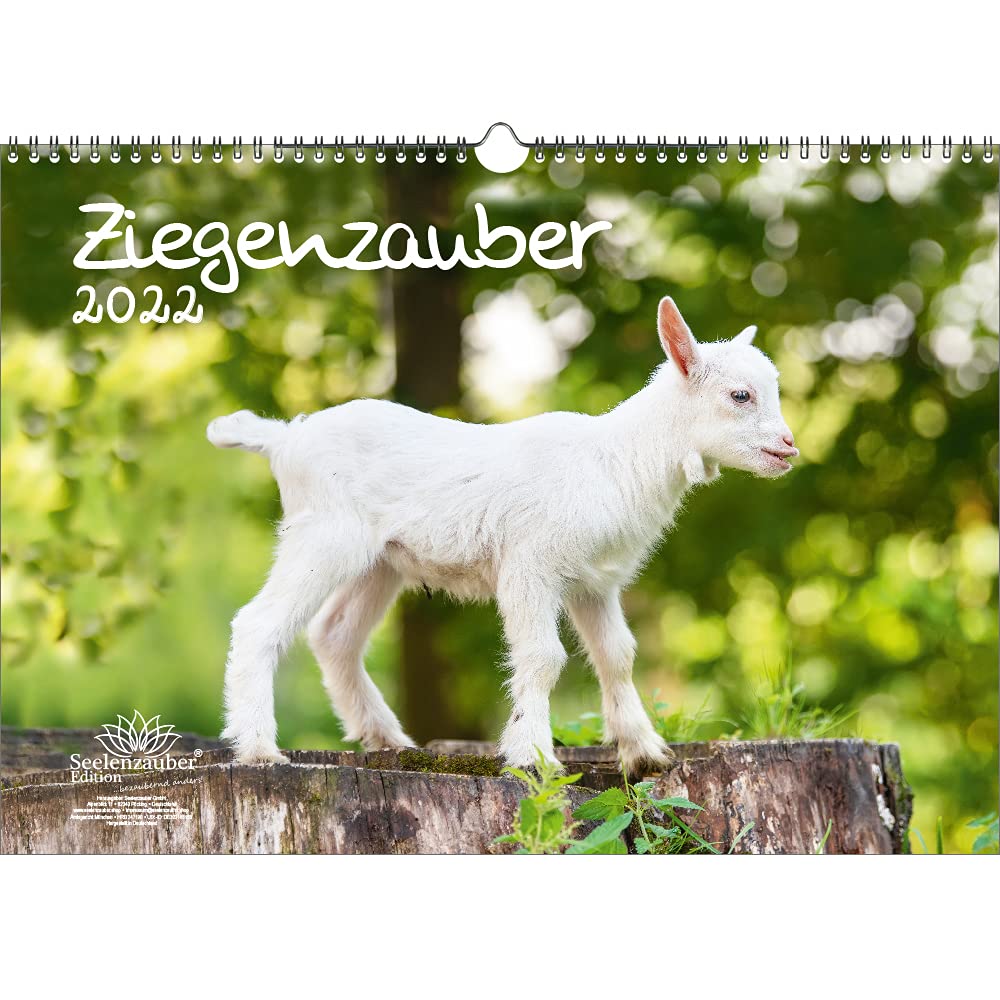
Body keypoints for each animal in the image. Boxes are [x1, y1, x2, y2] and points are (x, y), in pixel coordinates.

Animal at [207, 297, 798, 772]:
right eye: (740, 395)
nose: (789, 446)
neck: (615, 461)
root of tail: (285, 437)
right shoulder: (530, 566)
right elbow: (543, 657)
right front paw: (533, 756)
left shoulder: (594, 583)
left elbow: (618, 656)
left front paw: (643, 752)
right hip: (325, 535)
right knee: (258, 623)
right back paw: (258, 748)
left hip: (379, 561)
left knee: (334, 635)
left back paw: (387, 738)